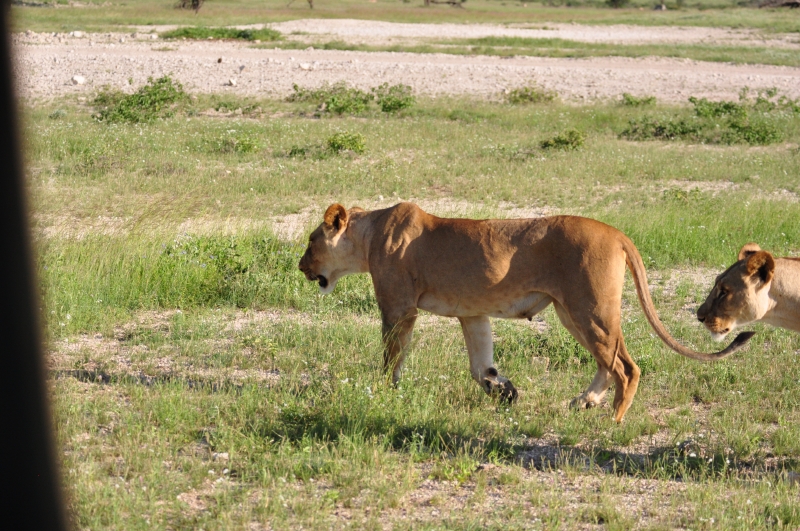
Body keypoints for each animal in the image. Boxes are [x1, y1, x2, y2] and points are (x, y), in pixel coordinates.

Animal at [299, 202, 753, 422]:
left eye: (310, 241)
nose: (300, 266)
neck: (369, 235)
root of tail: (617, 233)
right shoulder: (472, 314)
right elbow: (480, 364)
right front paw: (504, 391)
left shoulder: (398, 307)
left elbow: (391, 357)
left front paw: (382, 393)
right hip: (572, 311)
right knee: (608, 363)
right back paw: (585, 402)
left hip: (590, 308)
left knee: (626, 366)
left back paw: (614, 418)